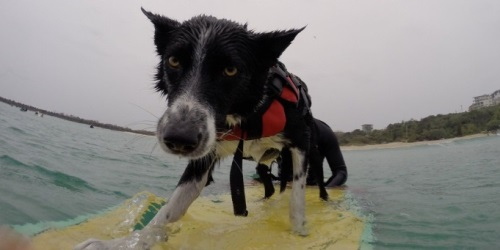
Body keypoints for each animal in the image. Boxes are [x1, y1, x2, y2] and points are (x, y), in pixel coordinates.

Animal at [76, 8, 318, 249]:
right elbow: (169, 210)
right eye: (173, 61)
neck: (247, 117)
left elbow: (297, 199)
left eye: (230, 70)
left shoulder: (301, 139)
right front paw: (127, 242)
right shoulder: (204, 155)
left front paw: (299, 234)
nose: (179, 138)